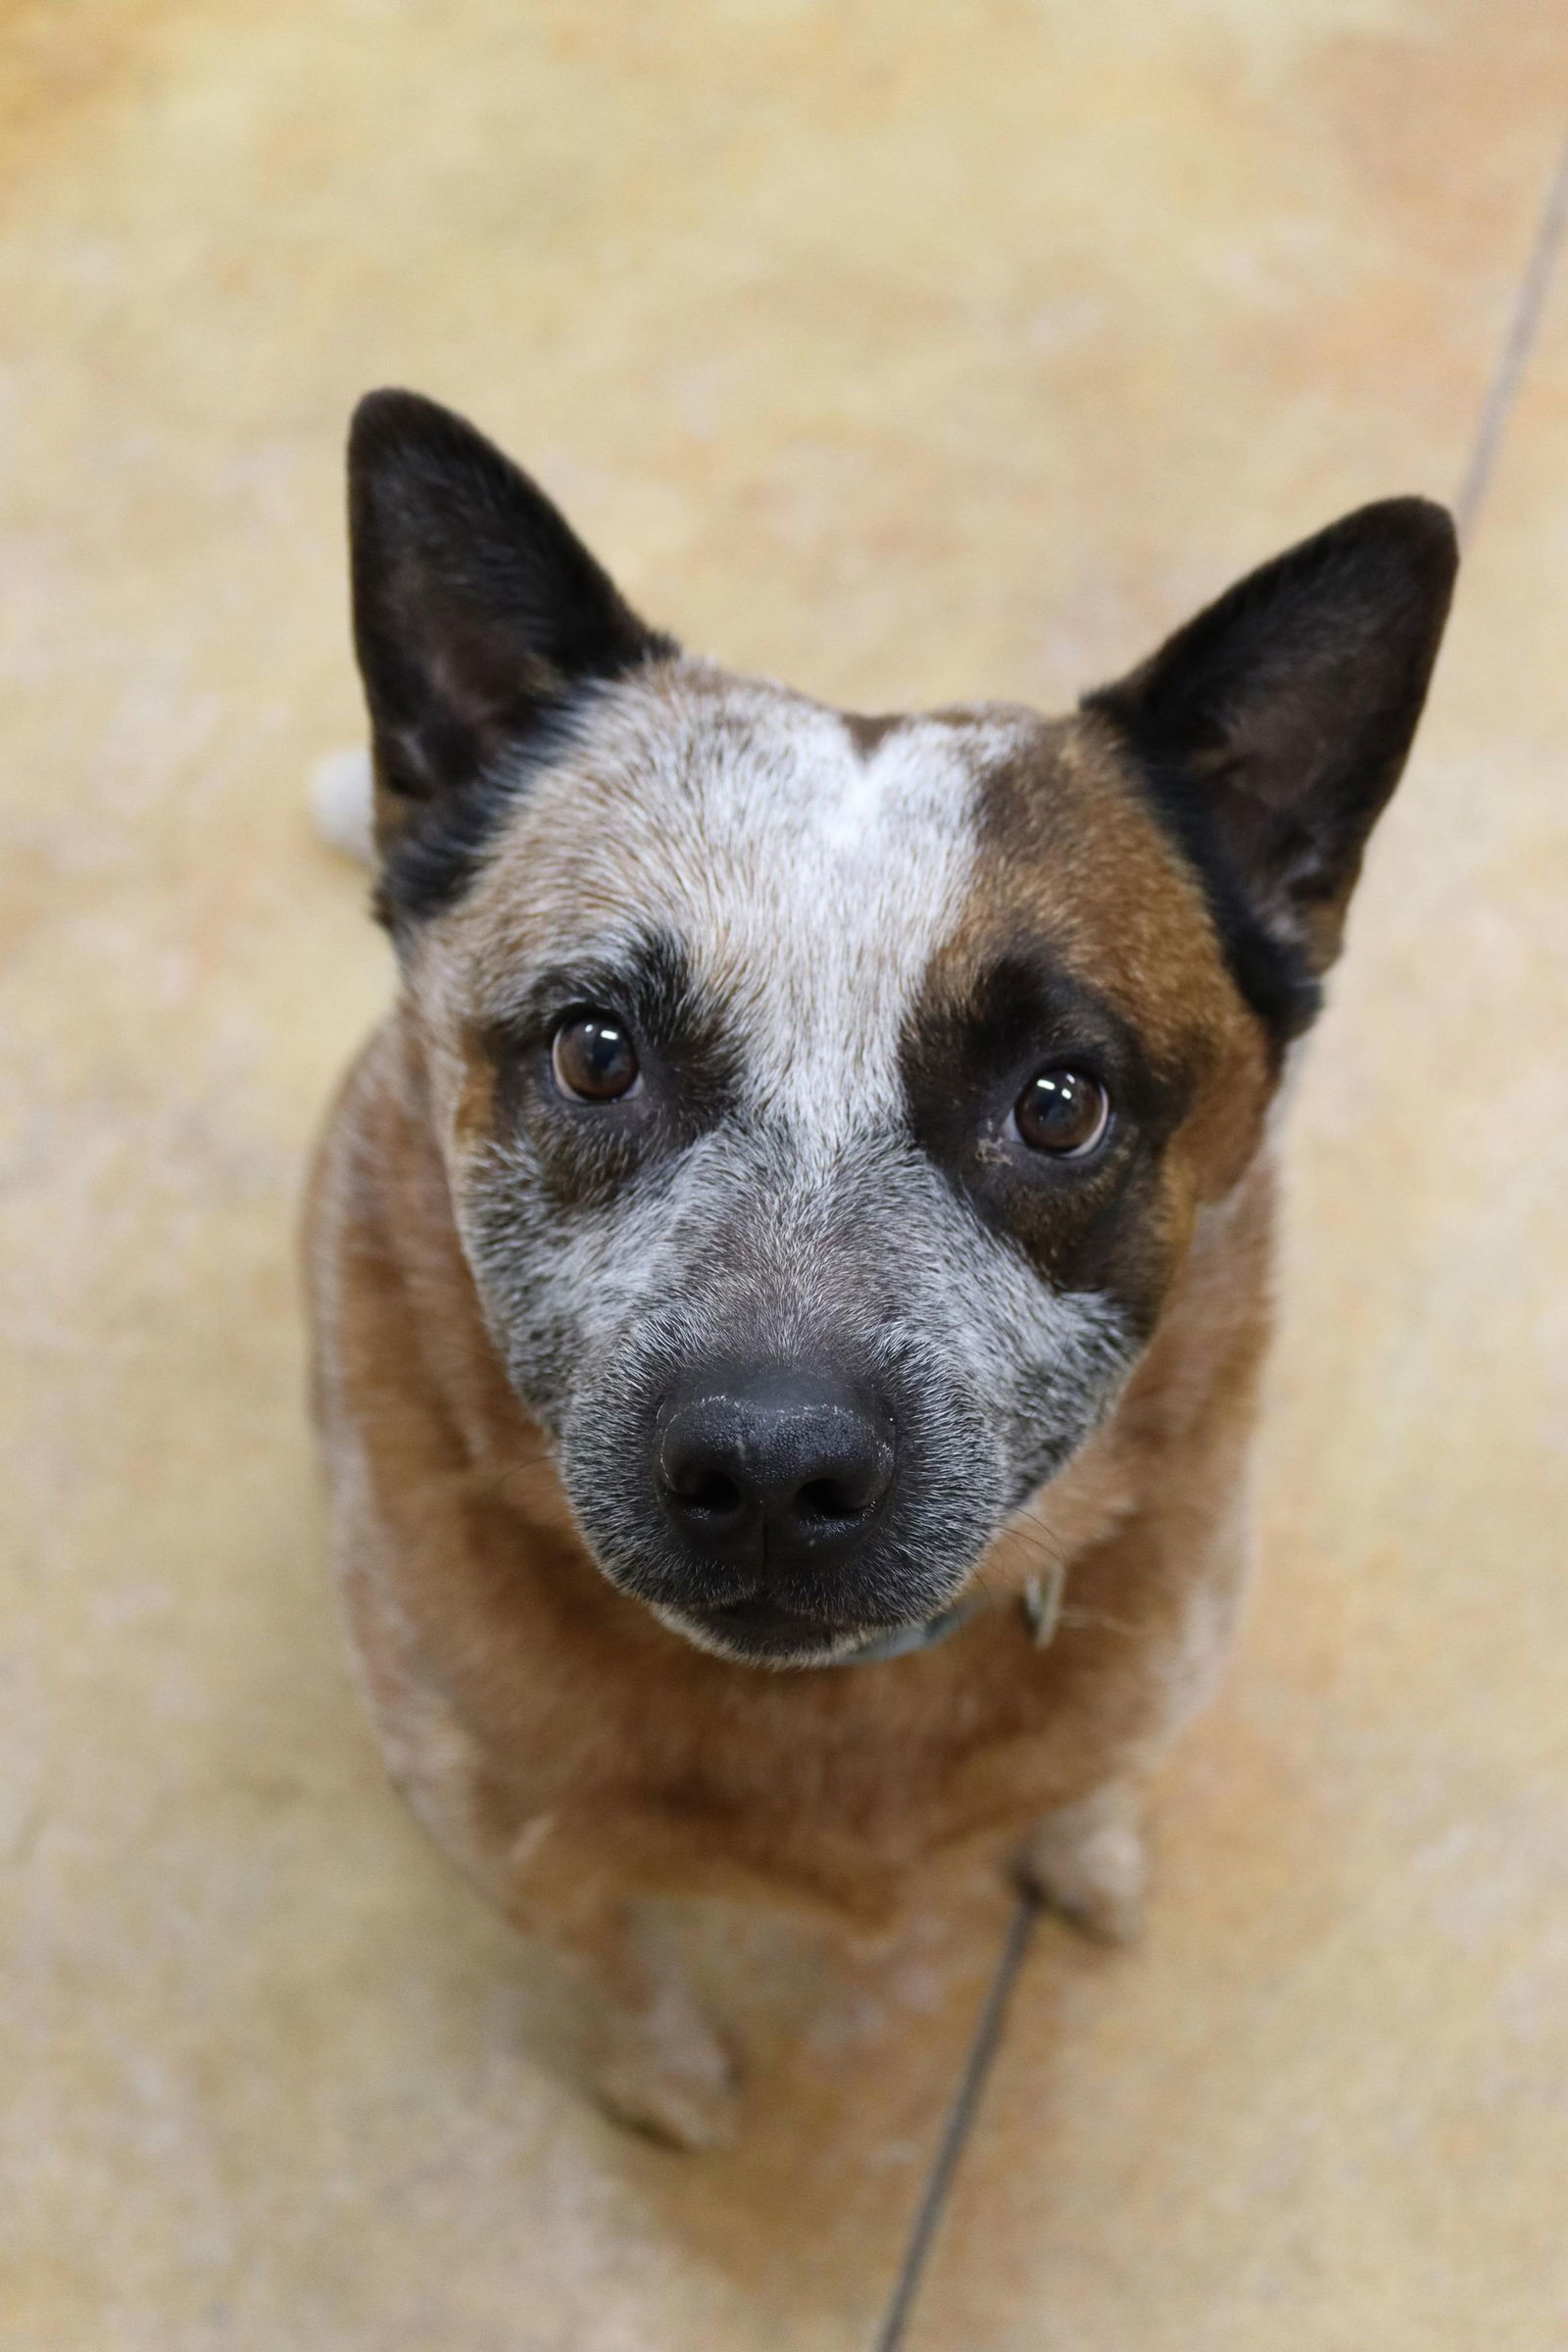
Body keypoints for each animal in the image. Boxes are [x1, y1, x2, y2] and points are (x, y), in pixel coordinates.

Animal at [305, 390, 1457, 2154]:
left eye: (1059, 1101)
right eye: (595, 1051)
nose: (771, 1469)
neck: (837, 1717)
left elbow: (1100, 1771)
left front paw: (1086, 1848)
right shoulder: (508, 1840)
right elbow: (616, 1954)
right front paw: (666, 2084)